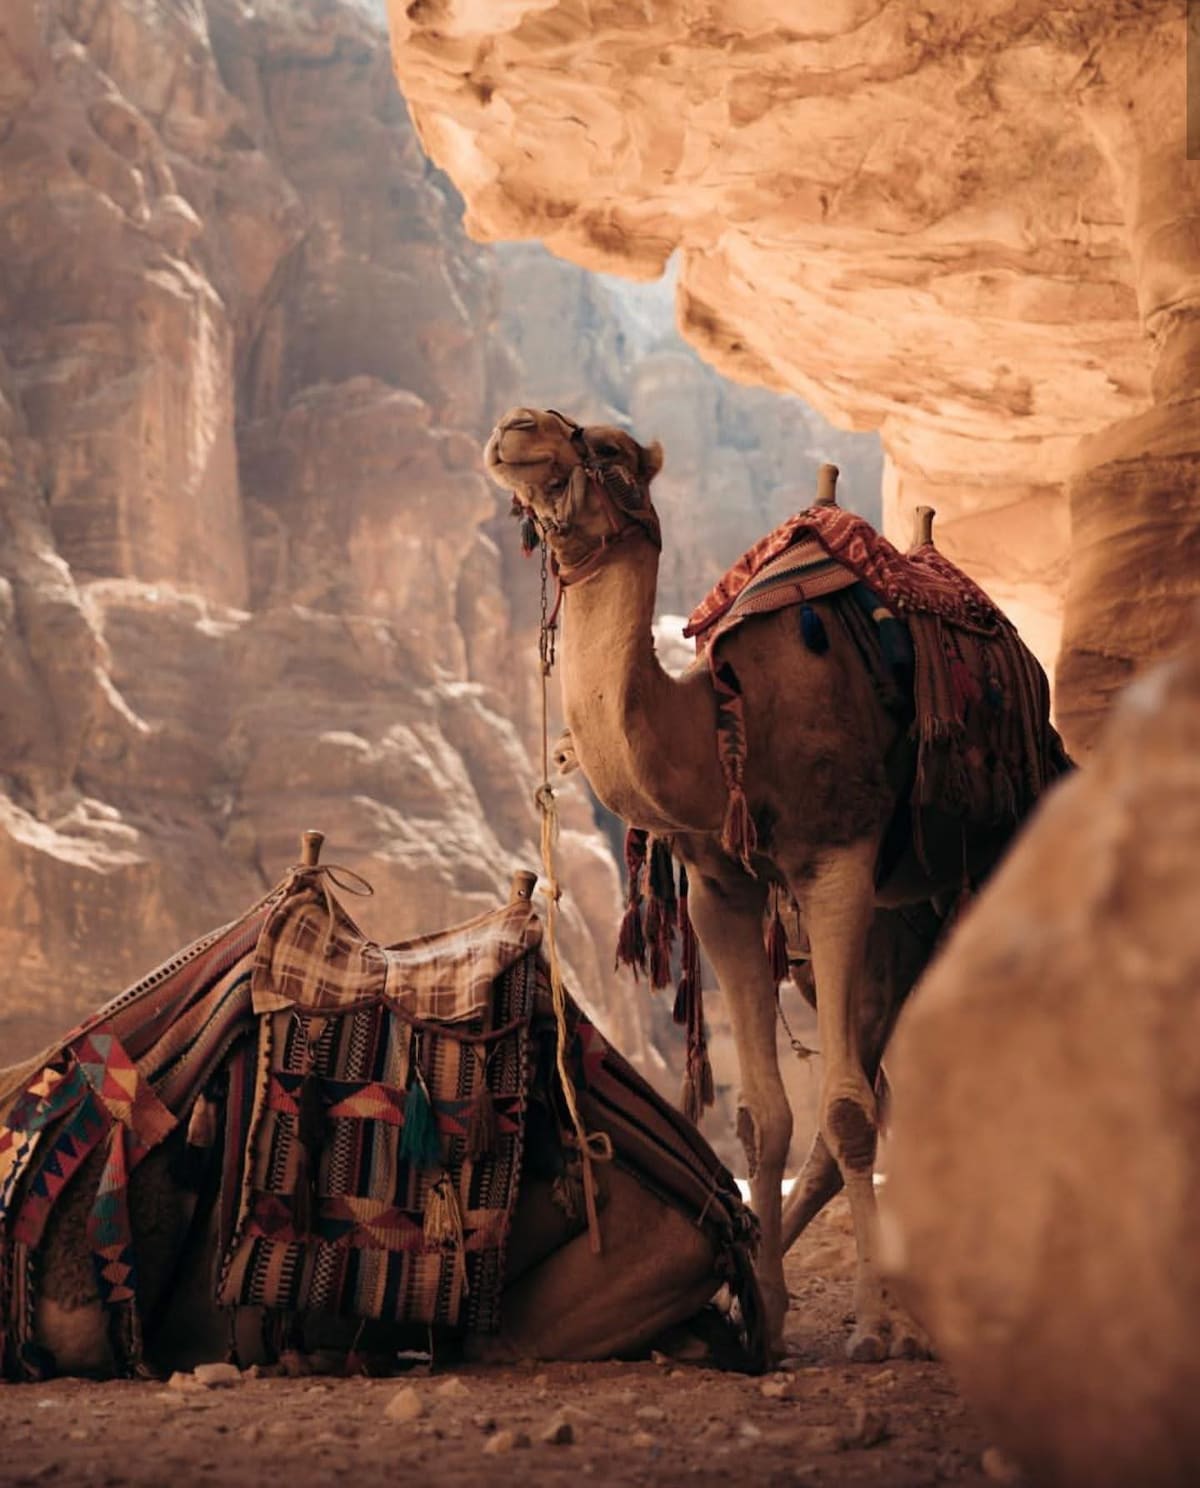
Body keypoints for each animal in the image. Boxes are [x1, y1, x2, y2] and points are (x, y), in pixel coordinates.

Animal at [484, 406, 1064, 1361]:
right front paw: (763, 1310)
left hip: (965, 873)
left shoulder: (836, 860)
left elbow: (848, 1113)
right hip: (891, 922)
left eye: (608, 447)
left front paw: (870, 1325)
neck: (726, 721)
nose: (515, 428)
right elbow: (765, 1118)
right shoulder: (723, 886)